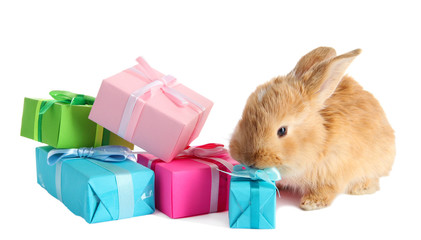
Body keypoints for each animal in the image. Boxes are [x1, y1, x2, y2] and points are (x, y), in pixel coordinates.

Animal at [228, 46, 396, 210]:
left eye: (282, 131)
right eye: (243, 118)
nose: (248, 160)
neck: (319, 138)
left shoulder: (334, 170)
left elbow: (326, 190)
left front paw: (311, 203)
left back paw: (361, 188)